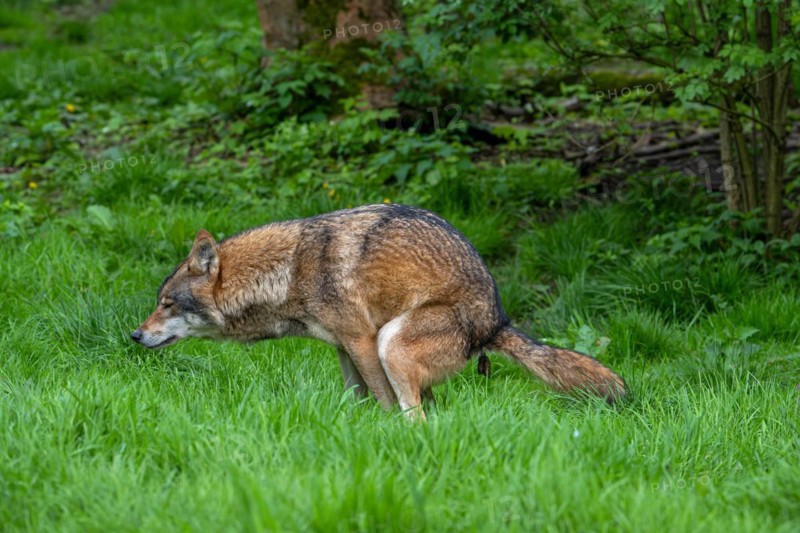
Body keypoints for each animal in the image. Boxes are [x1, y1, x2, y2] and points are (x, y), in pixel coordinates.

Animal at [132, 204, 625, 419]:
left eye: (167, 304)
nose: (135, 335)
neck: (287, 271)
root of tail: (497, 321)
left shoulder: (364, 342)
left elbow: (385, 404)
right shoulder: (343, 349)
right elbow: (357, 399)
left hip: (392, 343)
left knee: (417, 416)